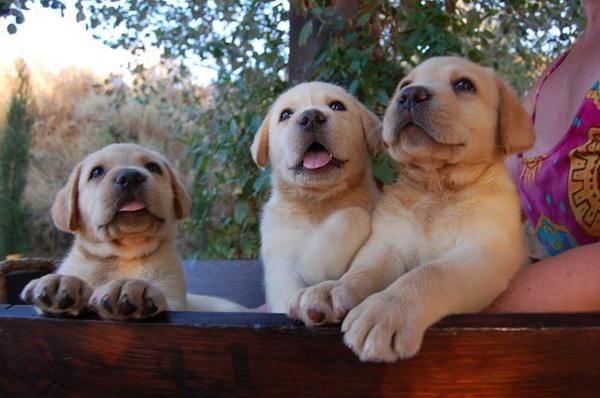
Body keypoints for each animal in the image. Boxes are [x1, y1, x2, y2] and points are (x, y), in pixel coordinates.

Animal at [21, 143, 246, 320]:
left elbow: (164, 301)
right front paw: (61, 283)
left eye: (153, 167)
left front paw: (128, 287)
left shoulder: (175, 301)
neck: (122, 257)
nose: (129, 176)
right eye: (96, 172)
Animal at [251, 82, 382, 316]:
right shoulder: (280, 260)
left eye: (337, 106)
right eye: (286, 114)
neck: (318, 202)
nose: (311, 117)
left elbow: (356, 213)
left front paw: (312, 267)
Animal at [290, 57, 536, 362]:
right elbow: (362, 271)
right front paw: (331, 288)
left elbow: (430, 272)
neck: (435, 187)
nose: (409, 95)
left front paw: (386, 310)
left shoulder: (482, 253)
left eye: (464, 85)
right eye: (404, 85)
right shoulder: (386, 247)